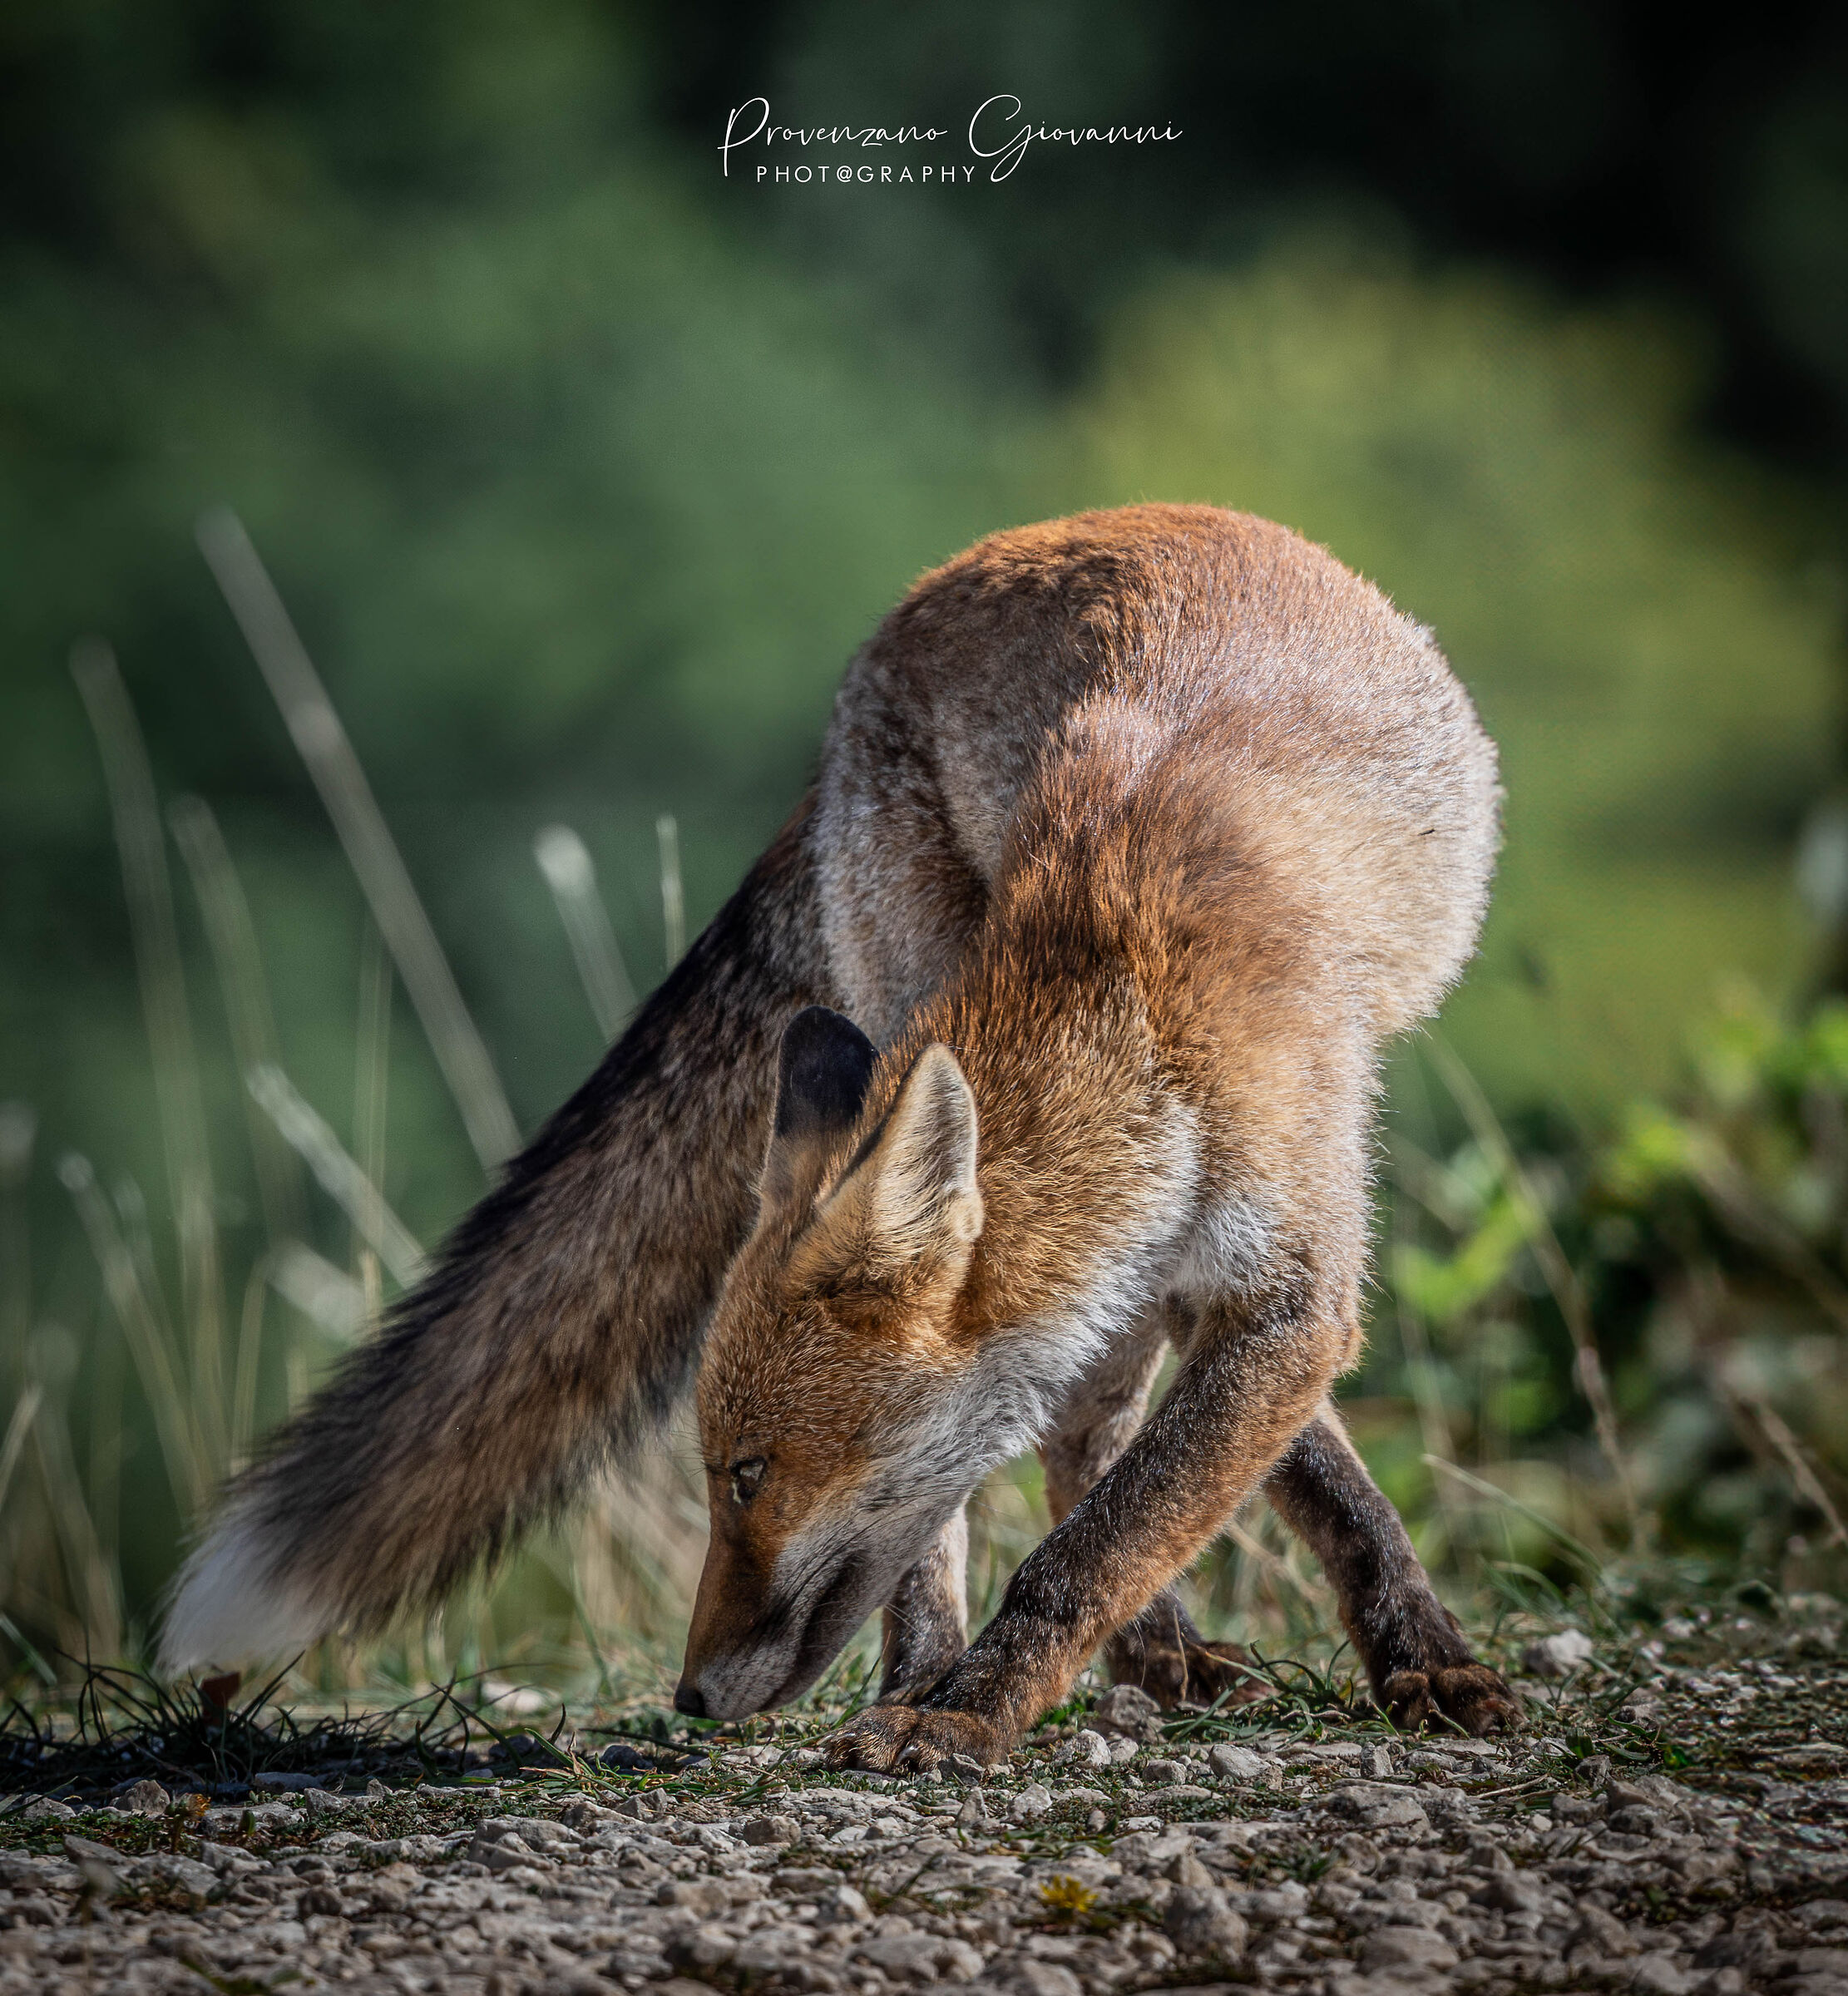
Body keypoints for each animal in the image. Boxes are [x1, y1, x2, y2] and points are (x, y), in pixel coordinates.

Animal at [162, 502, 1516, 1763]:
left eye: (748, 1475)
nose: (690, 1697)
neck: (1133, 1003)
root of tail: (938, 585)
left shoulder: (1282, 1280)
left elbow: (1126, 1537)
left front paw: (1416, 1661)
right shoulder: (1201, 1267)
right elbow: (1118, 1516)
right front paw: (946, 1697)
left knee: (1091, 1447)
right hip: (912, 997)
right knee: (1050, 1460)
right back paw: (1040, 1662)